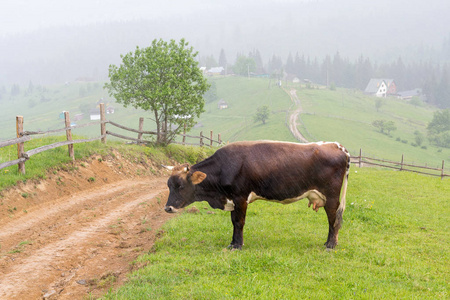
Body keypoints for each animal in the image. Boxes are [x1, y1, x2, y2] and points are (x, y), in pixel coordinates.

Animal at [163, 142, 350, 250]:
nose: (168, 208)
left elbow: (239, 222)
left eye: (180, 186)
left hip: (331, 197)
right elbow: (233, 221)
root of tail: (336, 145)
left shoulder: (240, 197)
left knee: (333, 219)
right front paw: (232, 243)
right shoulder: (233, 199)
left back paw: (331, 244)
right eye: (168, 185)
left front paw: (238, 246)